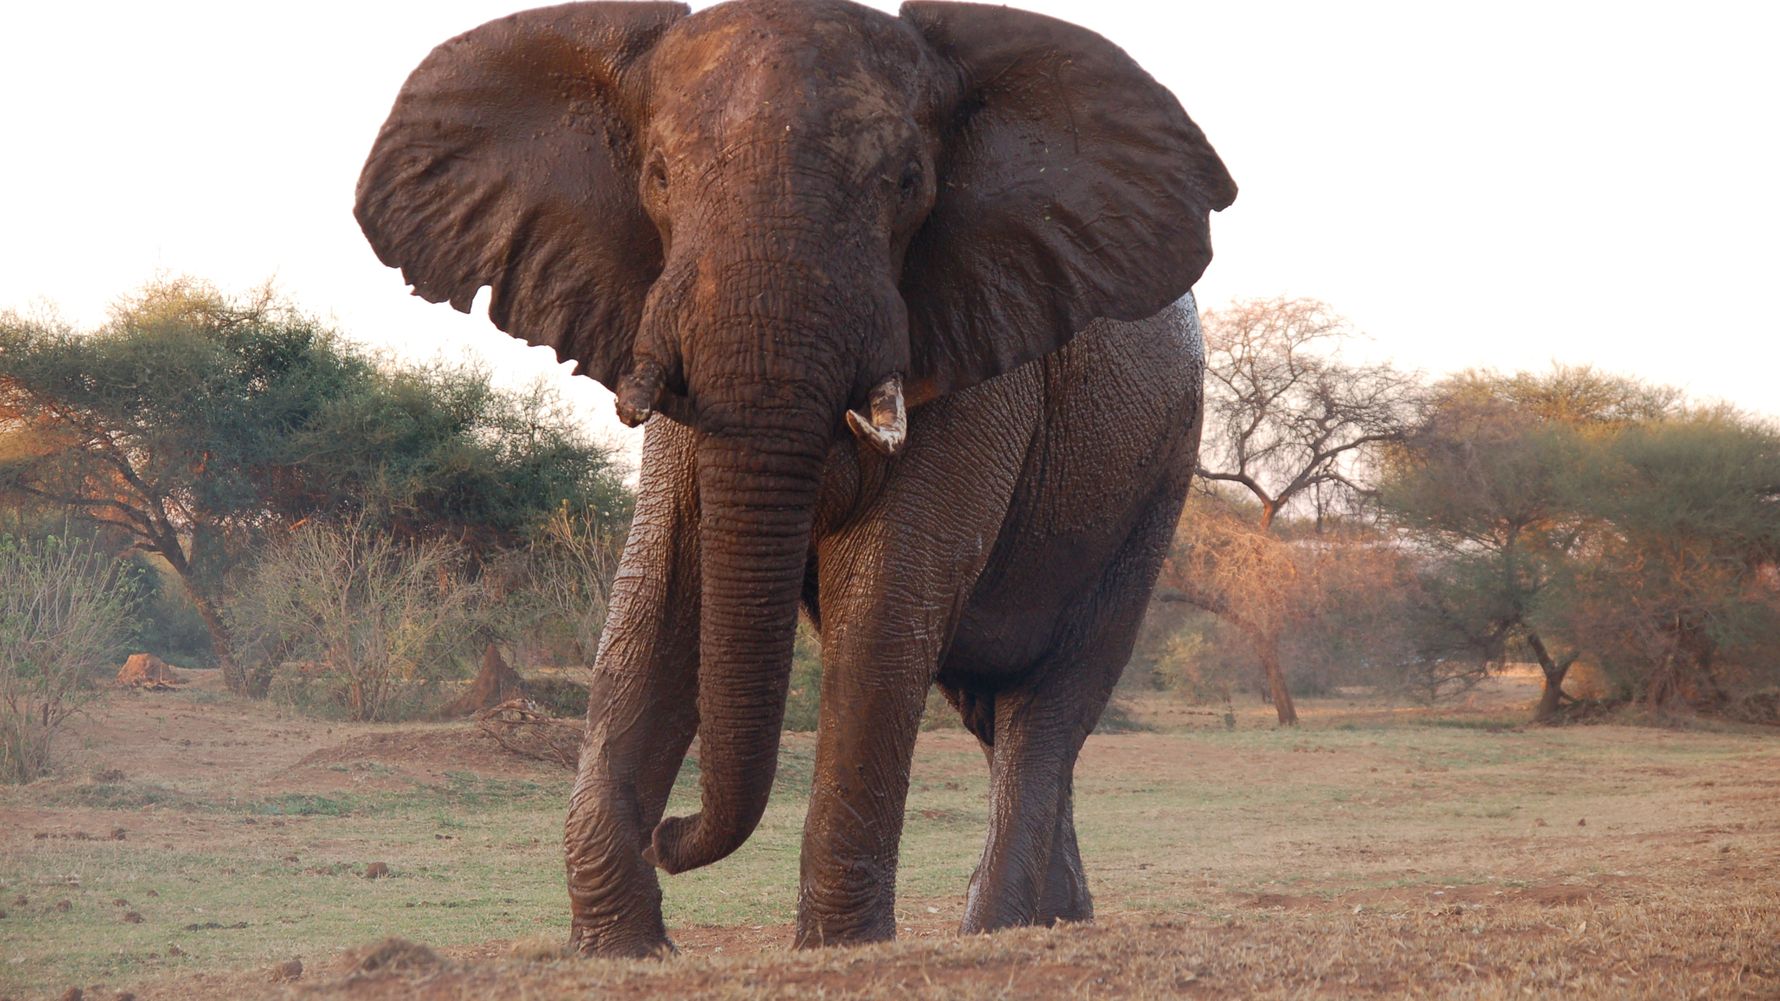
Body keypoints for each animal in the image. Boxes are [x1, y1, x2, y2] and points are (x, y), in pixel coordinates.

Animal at [355, 0, 1235, 957]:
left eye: (907, 183)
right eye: (657, 177)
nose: (670, 834)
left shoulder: (977, 345)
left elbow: (886, 597)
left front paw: (841, 947)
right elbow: (660, 590)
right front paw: (622, 949)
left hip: (1158, 478)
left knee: (1052, 699)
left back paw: (994, 929)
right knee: (995, 712)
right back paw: (1054, 921)